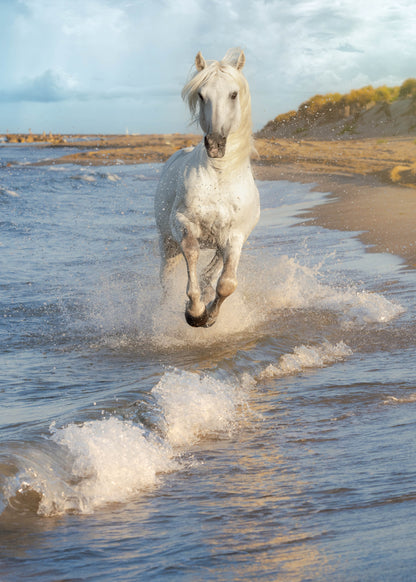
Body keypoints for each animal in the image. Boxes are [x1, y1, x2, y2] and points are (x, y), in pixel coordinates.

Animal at [155, 49, 260, 328]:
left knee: (213, 270)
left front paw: (209, 316)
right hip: (167, 242)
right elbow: (191, 255)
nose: (214, 144)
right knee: (166, 277)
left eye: (233, 94)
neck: (219, 177)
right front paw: (194, 312)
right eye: (201, 95)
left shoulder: (235, 236)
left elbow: (226, 283)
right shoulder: (183, 223)